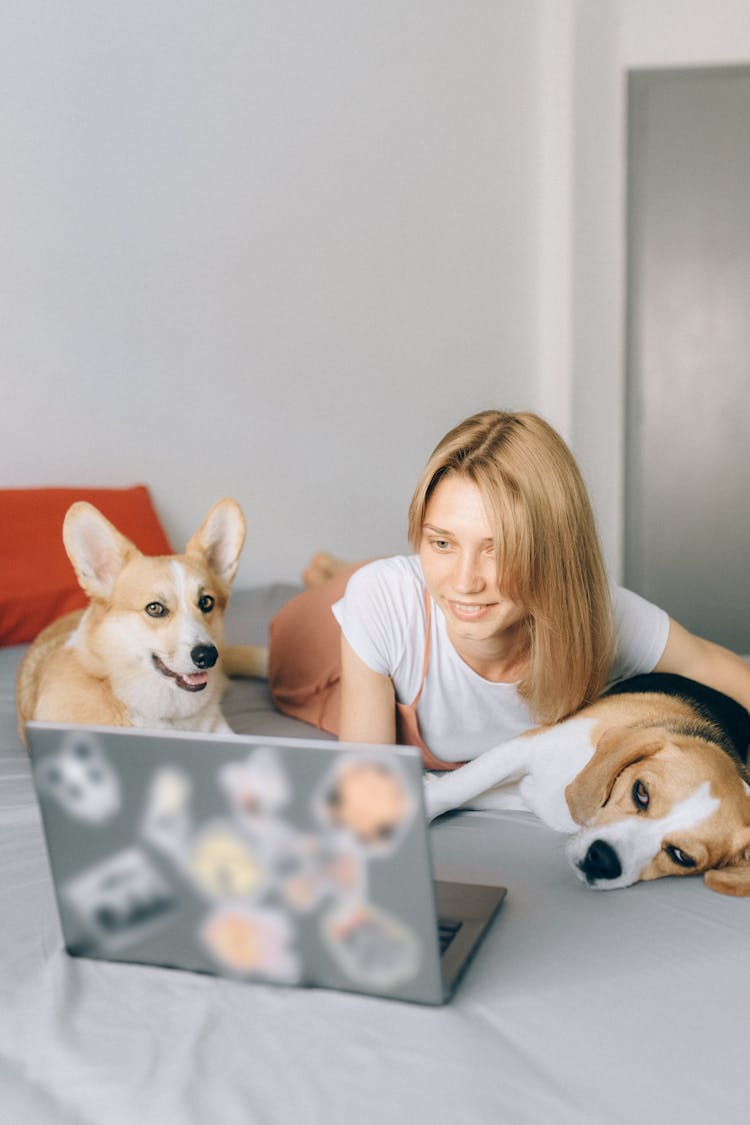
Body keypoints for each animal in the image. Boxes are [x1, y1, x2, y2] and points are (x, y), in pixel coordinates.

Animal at [425, 675, 750, 895]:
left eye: (682, 856)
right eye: (641, 793)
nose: (603, 861)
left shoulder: (521, 795)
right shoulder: (527, 746)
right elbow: (460, 787)